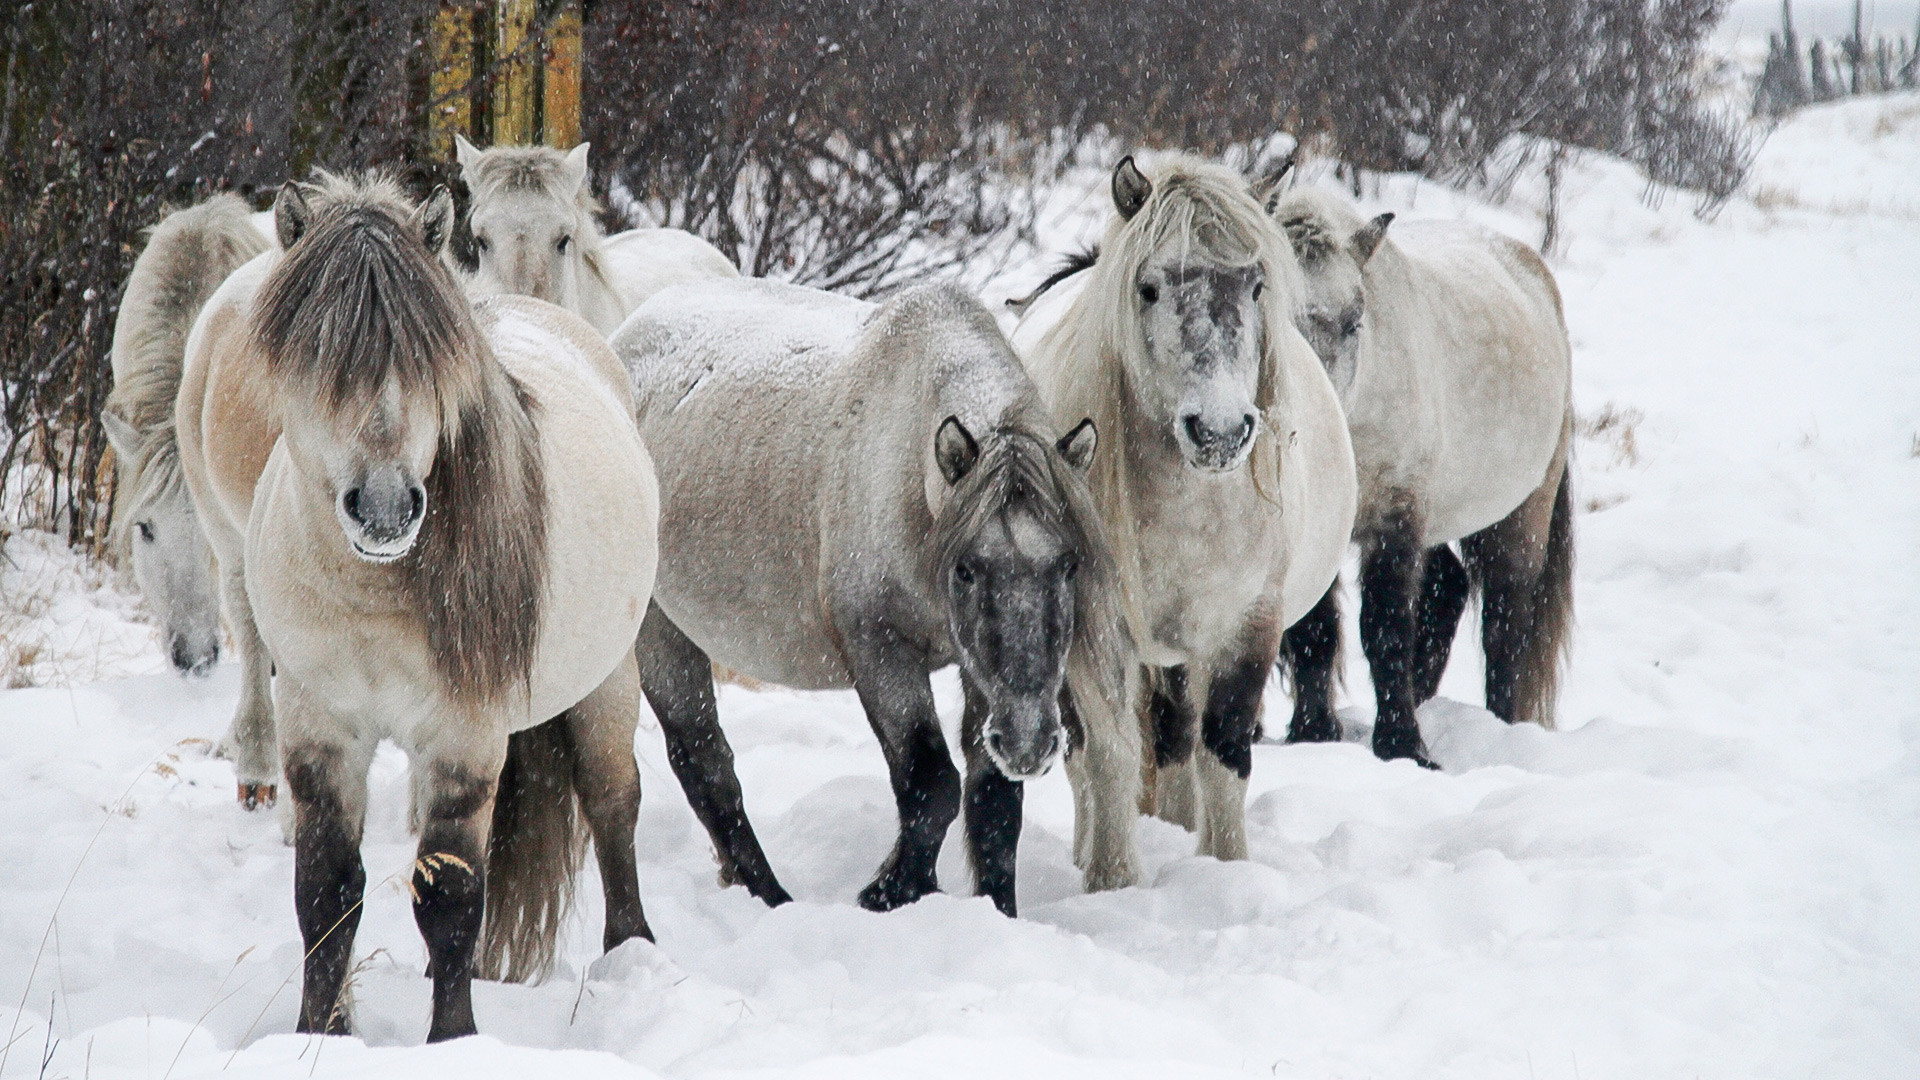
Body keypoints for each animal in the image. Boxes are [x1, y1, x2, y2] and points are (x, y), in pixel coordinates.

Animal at [180, 171, 660, 1037]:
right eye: (315, 354)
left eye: (430, 355)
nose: (384, 509)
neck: (373, 599)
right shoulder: (320, 728)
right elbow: (326, 893)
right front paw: (322, 1033)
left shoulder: (461, 740)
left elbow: (450, 898)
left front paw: (454, 1039)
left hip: (609, 678)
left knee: (614, 802)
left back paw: (633, 953)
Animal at [606, 274, 1128, 907]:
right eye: (966, 569)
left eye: (1069, 566)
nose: (1031, 744)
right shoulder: (879, 649)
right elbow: (930, 783)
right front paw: (893, 890)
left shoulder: (977, 669)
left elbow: (994, 803)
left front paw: (995, 909)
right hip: (658, 633)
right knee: (704, 761)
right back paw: (770, 896)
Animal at [1013, 153, 1359, 857]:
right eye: (1147, 289)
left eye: (1257, 287)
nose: (1220, 431)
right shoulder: (1096, 630)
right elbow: (1108, 758)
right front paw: (1111, 872)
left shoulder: (1246, 627)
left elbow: (1222, 751)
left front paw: (1225, 865)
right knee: (1091, 755)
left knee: (1175, 739)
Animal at [1267, 184, 1566, 760]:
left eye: (1354, 321)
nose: (1310, 427)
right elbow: (1316, 629)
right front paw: (1314, 731)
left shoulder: (1395, 518)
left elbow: (1384, 627)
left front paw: (1402, 743)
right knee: (1447, 590)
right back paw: (1422, 701)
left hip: (1517, 518)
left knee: (1506, 623)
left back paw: (1497, 726)